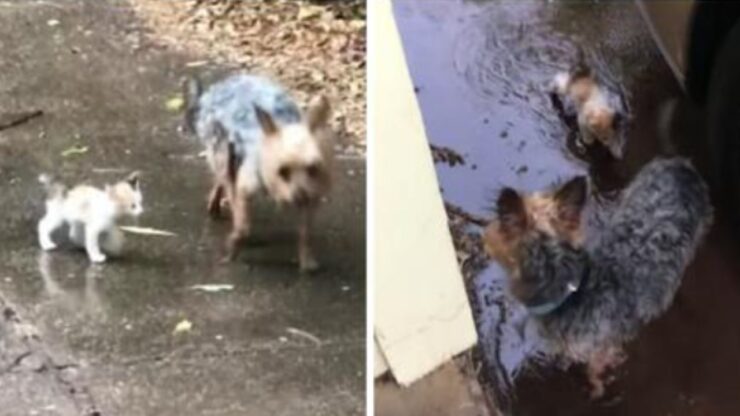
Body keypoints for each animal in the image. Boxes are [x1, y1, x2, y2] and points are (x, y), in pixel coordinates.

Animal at [184, 73, 334, 272]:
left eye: (313, 168)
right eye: (282, 171)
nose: (300, 197)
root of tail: (214, 90)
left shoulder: (313, 196)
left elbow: (306, 233)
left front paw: (306, 261)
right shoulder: (245, 187)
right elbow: (243, 226)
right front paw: (232, 250)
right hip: (222, 148)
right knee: (225, 179)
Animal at [482, 157, 712, 396]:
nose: (484, 233)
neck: (569, 290)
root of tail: (680, 164)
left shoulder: (604, 348)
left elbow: (596, 370)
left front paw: (596, 389)